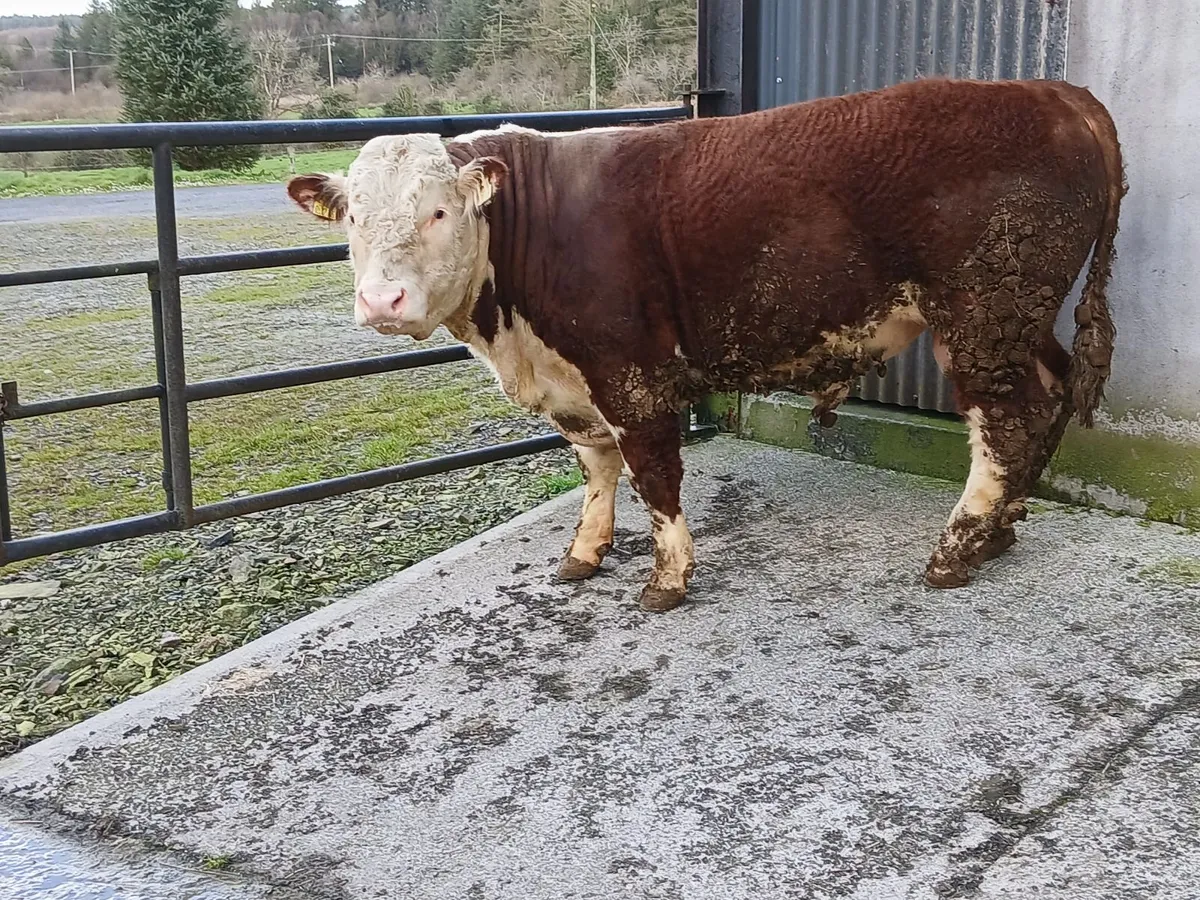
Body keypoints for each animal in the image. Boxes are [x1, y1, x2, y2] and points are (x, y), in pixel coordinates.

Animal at [286, 77, 1124, 612]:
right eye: (354, 217)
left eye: (437, 212)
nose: (382, 302)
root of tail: (1055, 93)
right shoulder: (574, 384)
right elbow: (596, 468)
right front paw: (583, 553)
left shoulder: (629, 373)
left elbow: (654, 477)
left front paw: (667, 580)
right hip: (1015, 321)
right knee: (1046, 402)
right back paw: (1000, 533)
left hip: (982, 313)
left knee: (1006, 424)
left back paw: (956, 550)